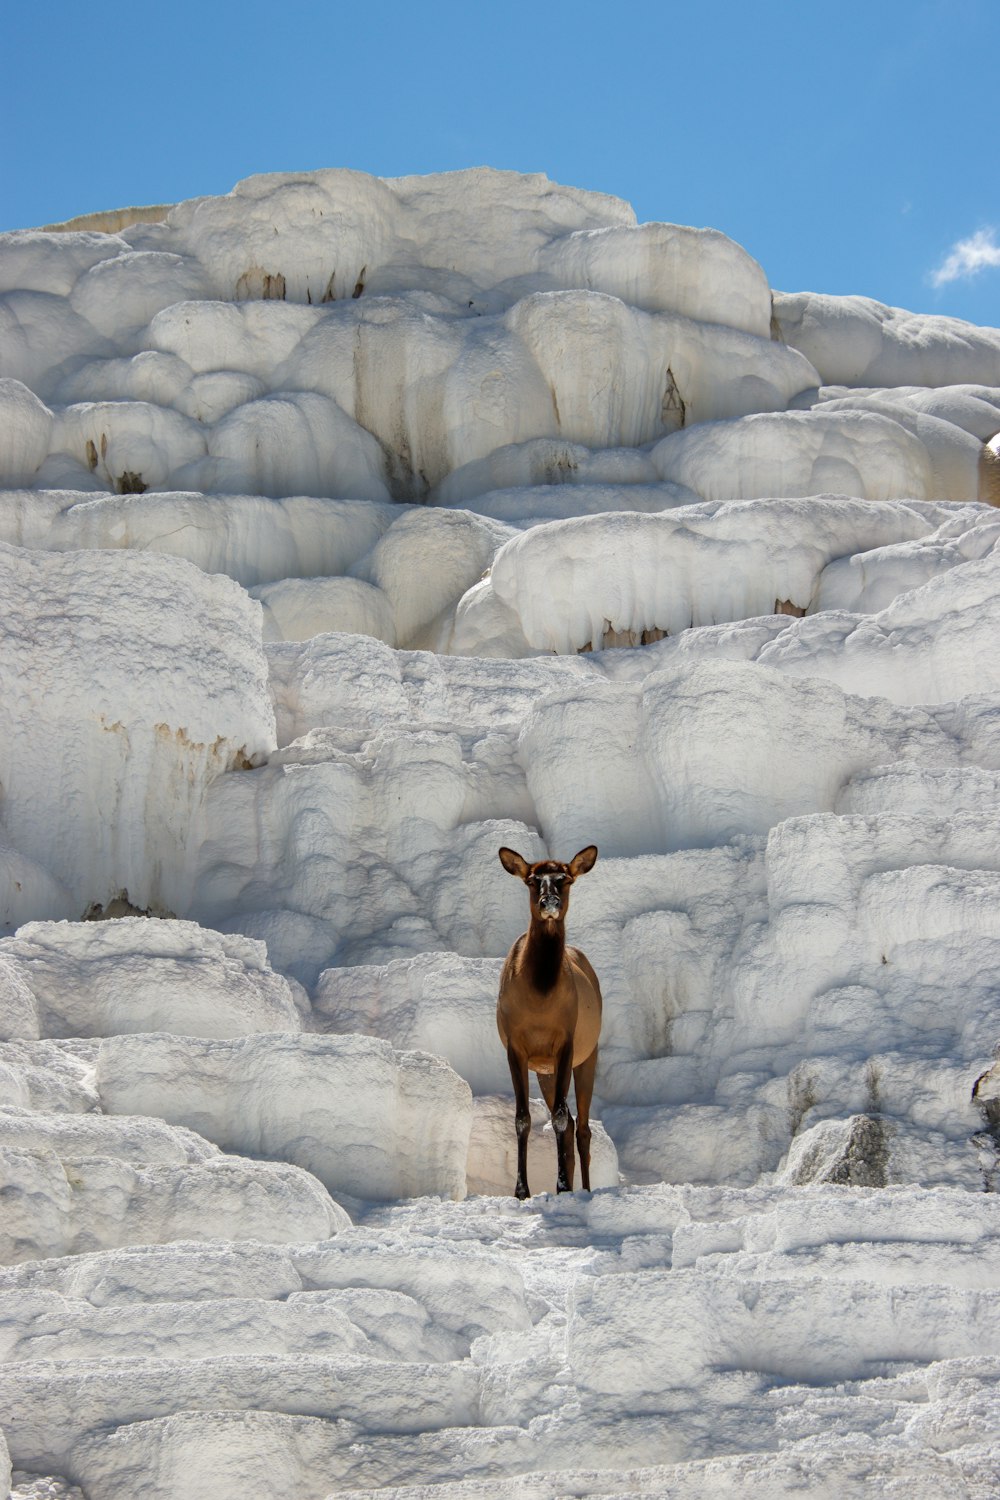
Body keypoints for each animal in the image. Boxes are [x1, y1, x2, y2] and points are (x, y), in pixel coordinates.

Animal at [494, 852, 602, 1200]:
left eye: (565, 879)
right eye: (532, 880)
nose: (549, 901)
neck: (540, 998)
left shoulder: (566, 1042)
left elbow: (559, 1117)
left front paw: (563, 1185)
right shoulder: (516, 1045)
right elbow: (522, 1118)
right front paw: (521, 1190)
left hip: (589, 1054)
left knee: (582, 1126)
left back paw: (584, 1187)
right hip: (547, 1070)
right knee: (572, 1121)